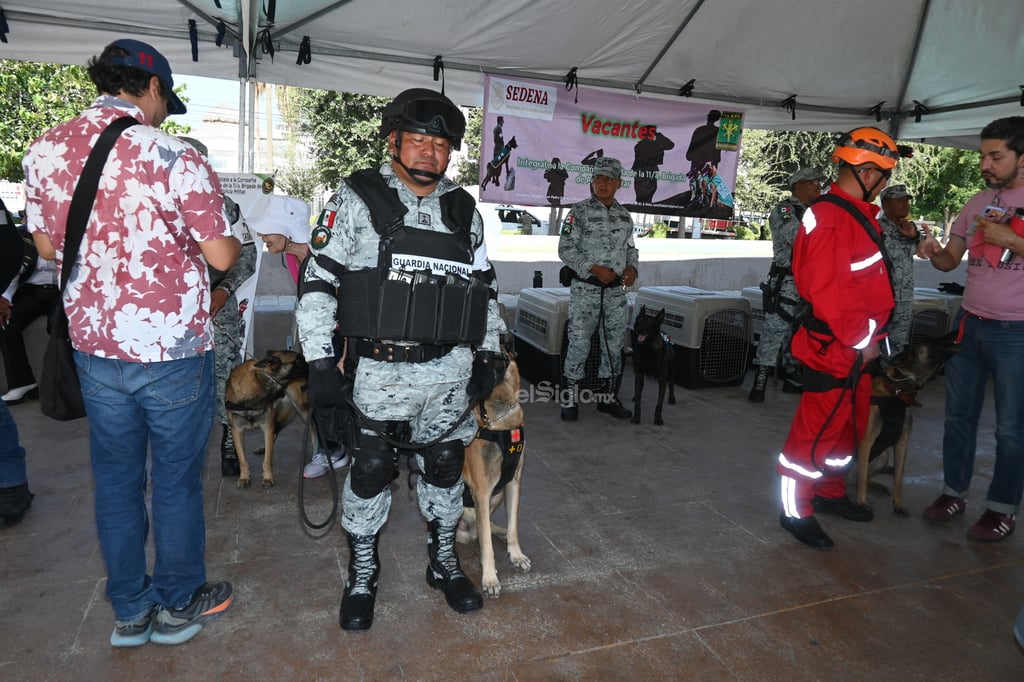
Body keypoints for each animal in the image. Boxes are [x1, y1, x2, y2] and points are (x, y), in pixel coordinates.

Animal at [458, 350, 532, 593]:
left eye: (486, 358)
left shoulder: (513, 483)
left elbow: (513, 526)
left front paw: (516, 554)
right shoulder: (482, 491)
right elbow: (486, 546)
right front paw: (489, 578)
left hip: (497, 496)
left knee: (486, 525)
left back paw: (498, 531)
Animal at [856, 331, 958, 512]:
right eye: (932, 341)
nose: (955, 332)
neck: (896, 392)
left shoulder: (902, 442)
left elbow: (899, 477)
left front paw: (899, 504)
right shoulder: (866, 441)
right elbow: (862, 476)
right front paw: (861, 502)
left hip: (884, 455)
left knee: (870, 475)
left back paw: (877, 485)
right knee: (858, 477)